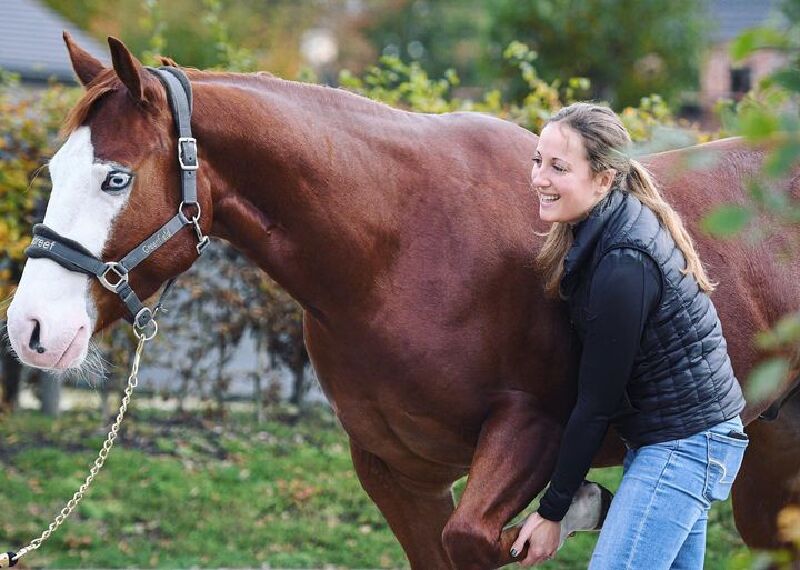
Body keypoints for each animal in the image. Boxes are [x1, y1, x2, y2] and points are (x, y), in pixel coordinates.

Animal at [6, 36, 800, 568]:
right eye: (53, 169)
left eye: (115, 178)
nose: (32, 328)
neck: (397, 249)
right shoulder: (396, 472)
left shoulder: (533, 430)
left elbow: (480, 536)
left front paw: (582, 505)